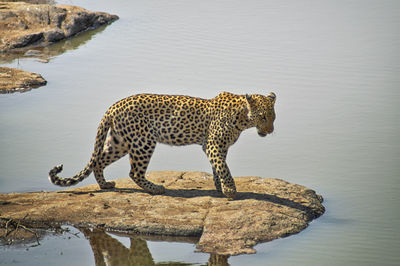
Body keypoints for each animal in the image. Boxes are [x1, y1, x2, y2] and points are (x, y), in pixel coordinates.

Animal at [49, 91, 276, 197]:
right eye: (263, 117)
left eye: (273, 117)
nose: (271, 131)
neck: (243, 118)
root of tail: (113, 106)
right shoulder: (213, 145)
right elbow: (223, 168)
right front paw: (230, 190)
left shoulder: (219, 147)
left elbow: (217, 167)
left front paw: (219, 188)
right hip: (143, 142)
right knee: (134, 172)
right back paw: (156, 188)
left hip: (119, 142)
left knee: (99, 161)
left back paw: (105, 185)